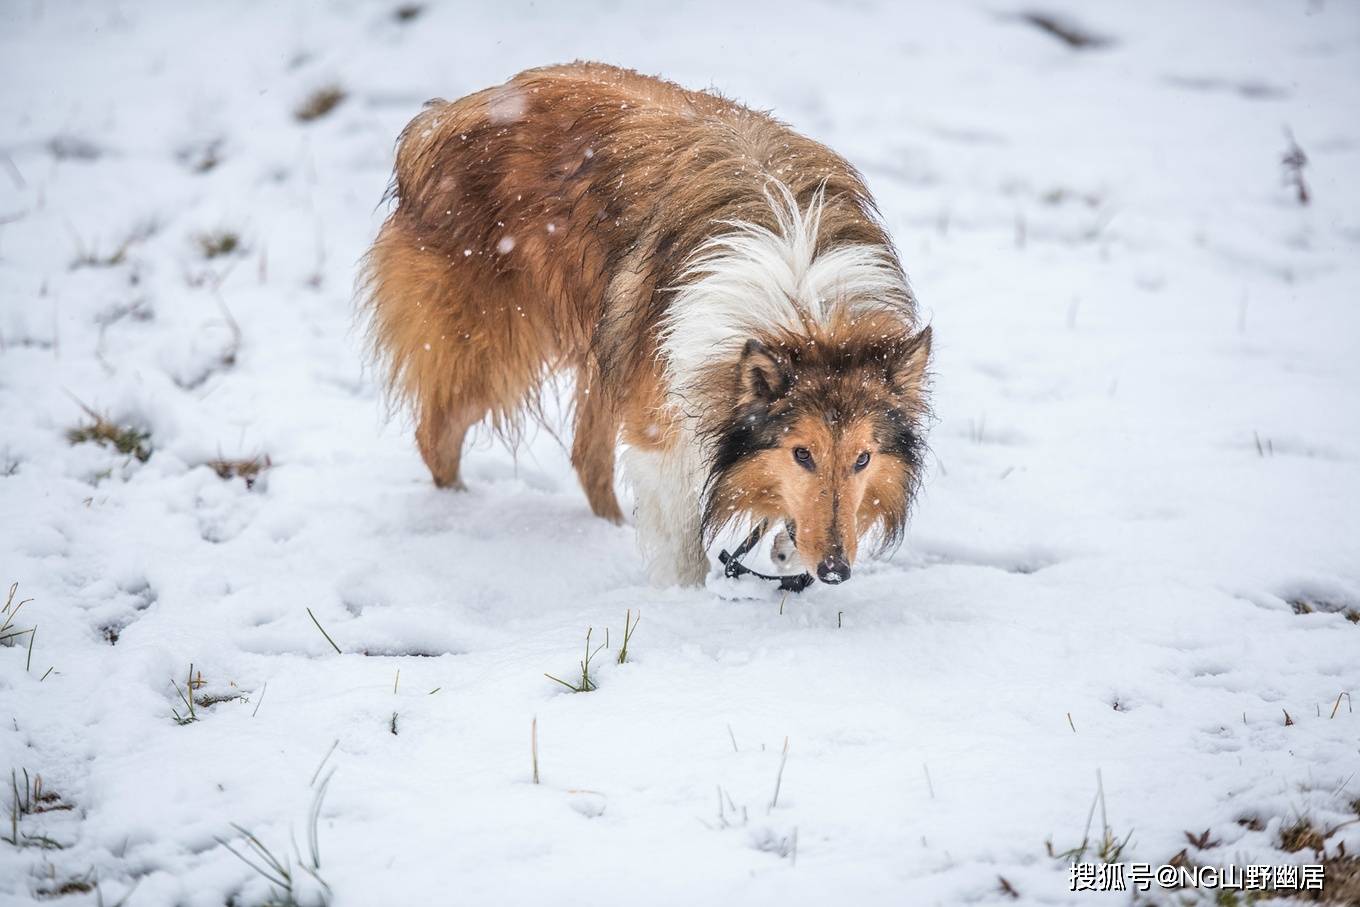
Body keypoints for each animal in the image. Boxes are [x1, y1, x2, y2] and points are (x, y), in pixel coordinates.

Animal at [361, 63, 930, 590]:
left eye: (863, 458)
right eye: (802, 453)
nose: (835, 571)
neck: (803, 307)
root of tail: (443, 117)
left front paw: (785, 546)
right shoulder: (664, 423)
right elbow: (680, 540)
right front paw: (684, 603)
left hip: (608, 349)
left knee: (586, 459)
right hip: (495, 348)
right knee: (436, 435)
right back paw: (457, 518)